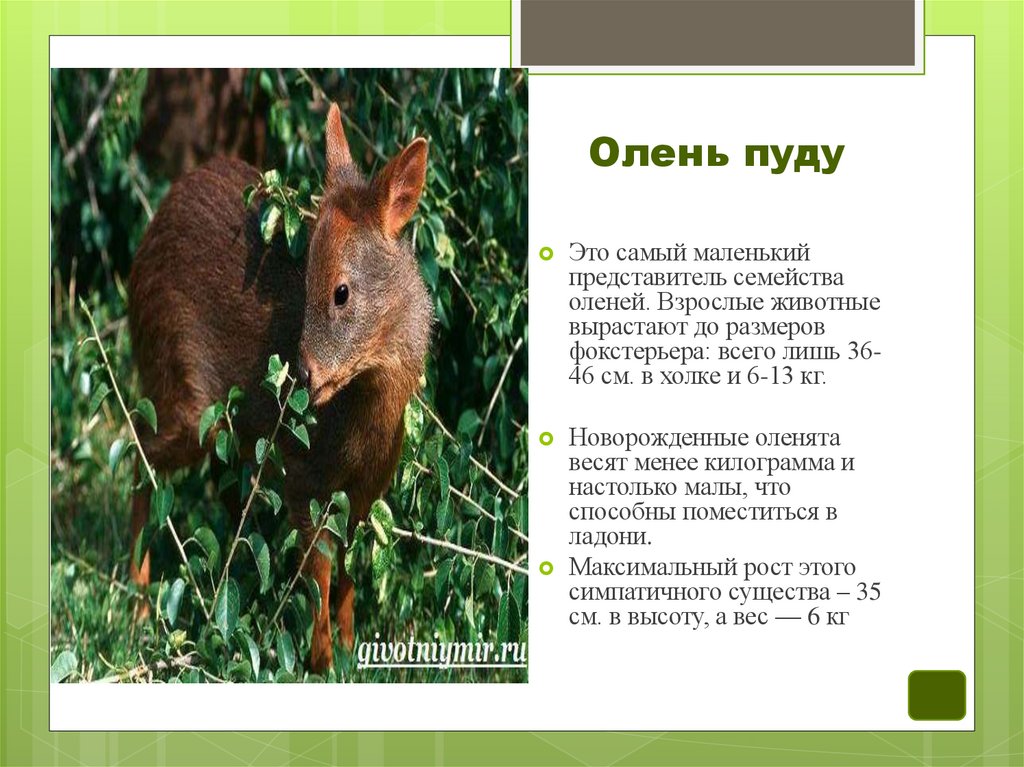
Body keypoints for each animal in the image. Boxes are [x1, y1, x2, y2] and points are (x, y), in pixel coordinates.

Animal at [127, 103, 432, 672]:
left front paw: (352, 650)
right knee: (139, 447)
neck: (360, 435)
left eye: (341, 291)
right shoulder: (303, 476)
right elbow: (319, 579)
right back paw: (137, 598)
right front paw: (322, 662)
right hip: (184, 389)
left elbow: (349, 579)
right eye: (305, 280)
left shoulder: (365, 494)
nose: (302, 376)